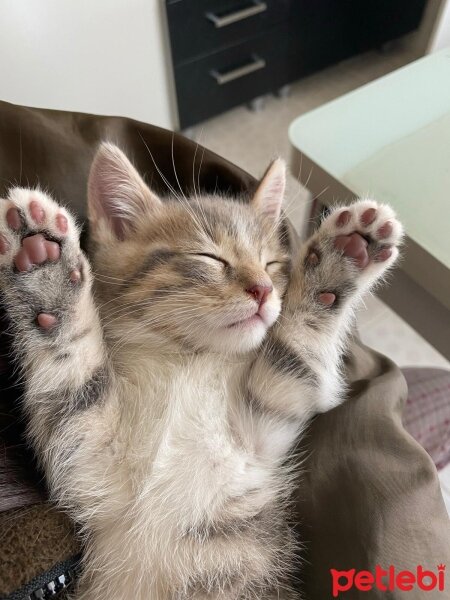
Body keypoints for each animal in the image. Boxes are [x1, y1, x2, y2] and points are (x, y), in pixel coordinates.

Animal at [0, 143, 400, 596]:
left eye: (273, 265)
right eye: (210, 257)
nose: (263, 290)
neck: (188, 358)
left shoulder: (263, 431)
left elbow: (296, 354)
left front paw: (339, 262)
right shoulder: (89, 455)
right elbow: (70, 375)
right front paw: (44, 273)